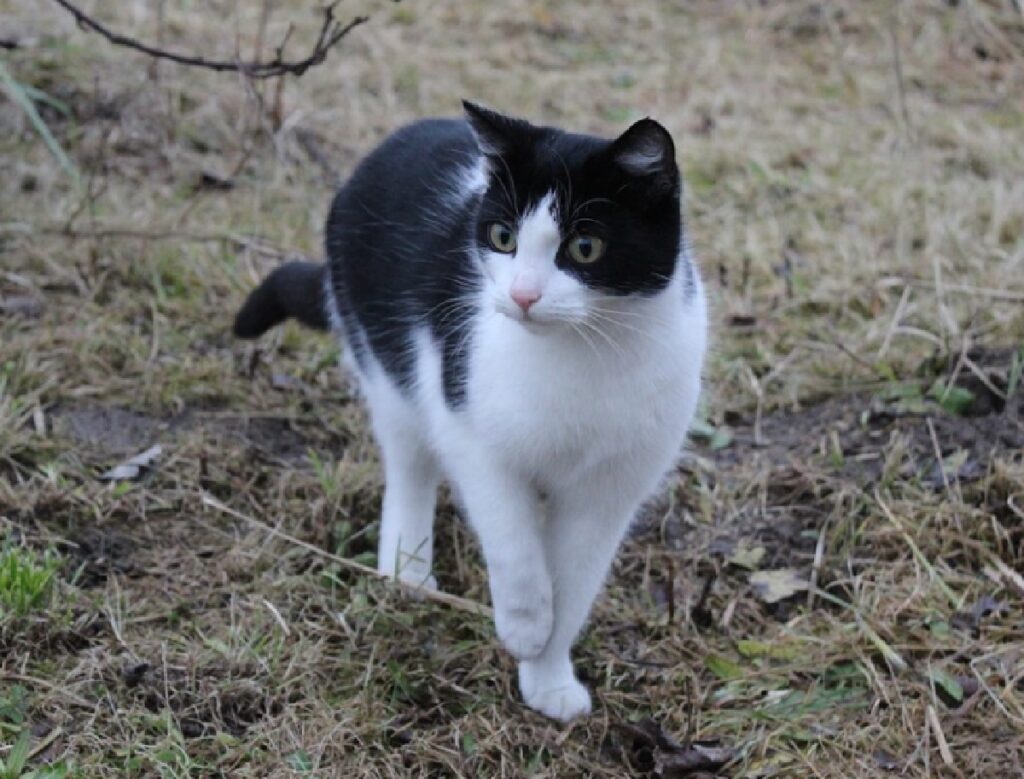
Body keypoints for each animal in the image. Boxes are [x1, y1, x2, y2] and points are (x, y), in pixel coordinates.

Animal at [234, 100, 708, 720]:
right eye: (503, 237)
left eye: (585, 247)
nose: (523, 295)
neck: (586, 353)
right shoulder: (470, 431)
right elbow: (513, 542)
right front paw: (525, 623)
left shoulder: (611, 486)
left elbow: (575, 581)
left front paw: (548, 679)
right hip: (385, 358)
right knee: (410, 461)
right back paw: (407, 567)